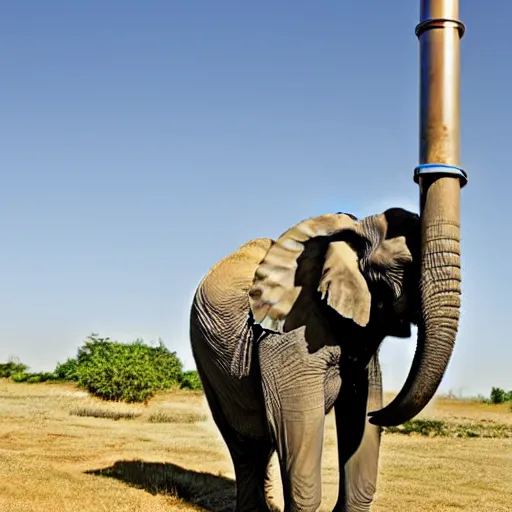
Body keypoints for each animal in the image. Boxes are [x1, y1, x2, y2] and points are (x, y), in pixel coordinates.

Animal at [190, 206, 462, 510]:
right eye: (405, 263)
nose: (376, 417)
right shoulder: (288, 337)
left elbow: (359, 424)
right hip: (206, 361)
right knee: (245, 447)